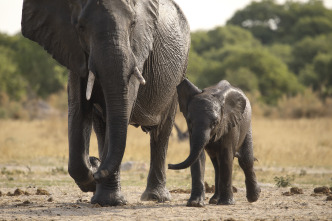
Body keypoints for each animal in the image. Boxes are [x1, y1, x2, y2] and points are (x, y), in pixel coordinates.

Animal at [21, 0, 189, 206]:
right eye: (81, 27)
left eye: (133, 24)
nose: (95, 163)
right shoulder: (73, 49)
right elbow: (78, 107)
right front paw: (96, 185)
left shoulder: (137, 51)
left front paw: (102, 187)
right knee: (101, 128)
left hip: (179, 73)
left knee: (161, 131)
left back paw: (155, 198)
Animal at [170, 78, 260, 206]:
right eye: (189, 120)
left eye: (215, 122)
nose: (169, 165)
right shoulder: (192, 131)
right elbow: (198, 156)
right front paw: (195, 203)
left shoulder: (230, 123)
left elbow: (226, 156)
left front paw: (226, 203)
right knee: (217, 165)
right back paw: (214, 200)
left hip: (247, 124)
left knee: (245, 160)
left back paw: (253, 197)